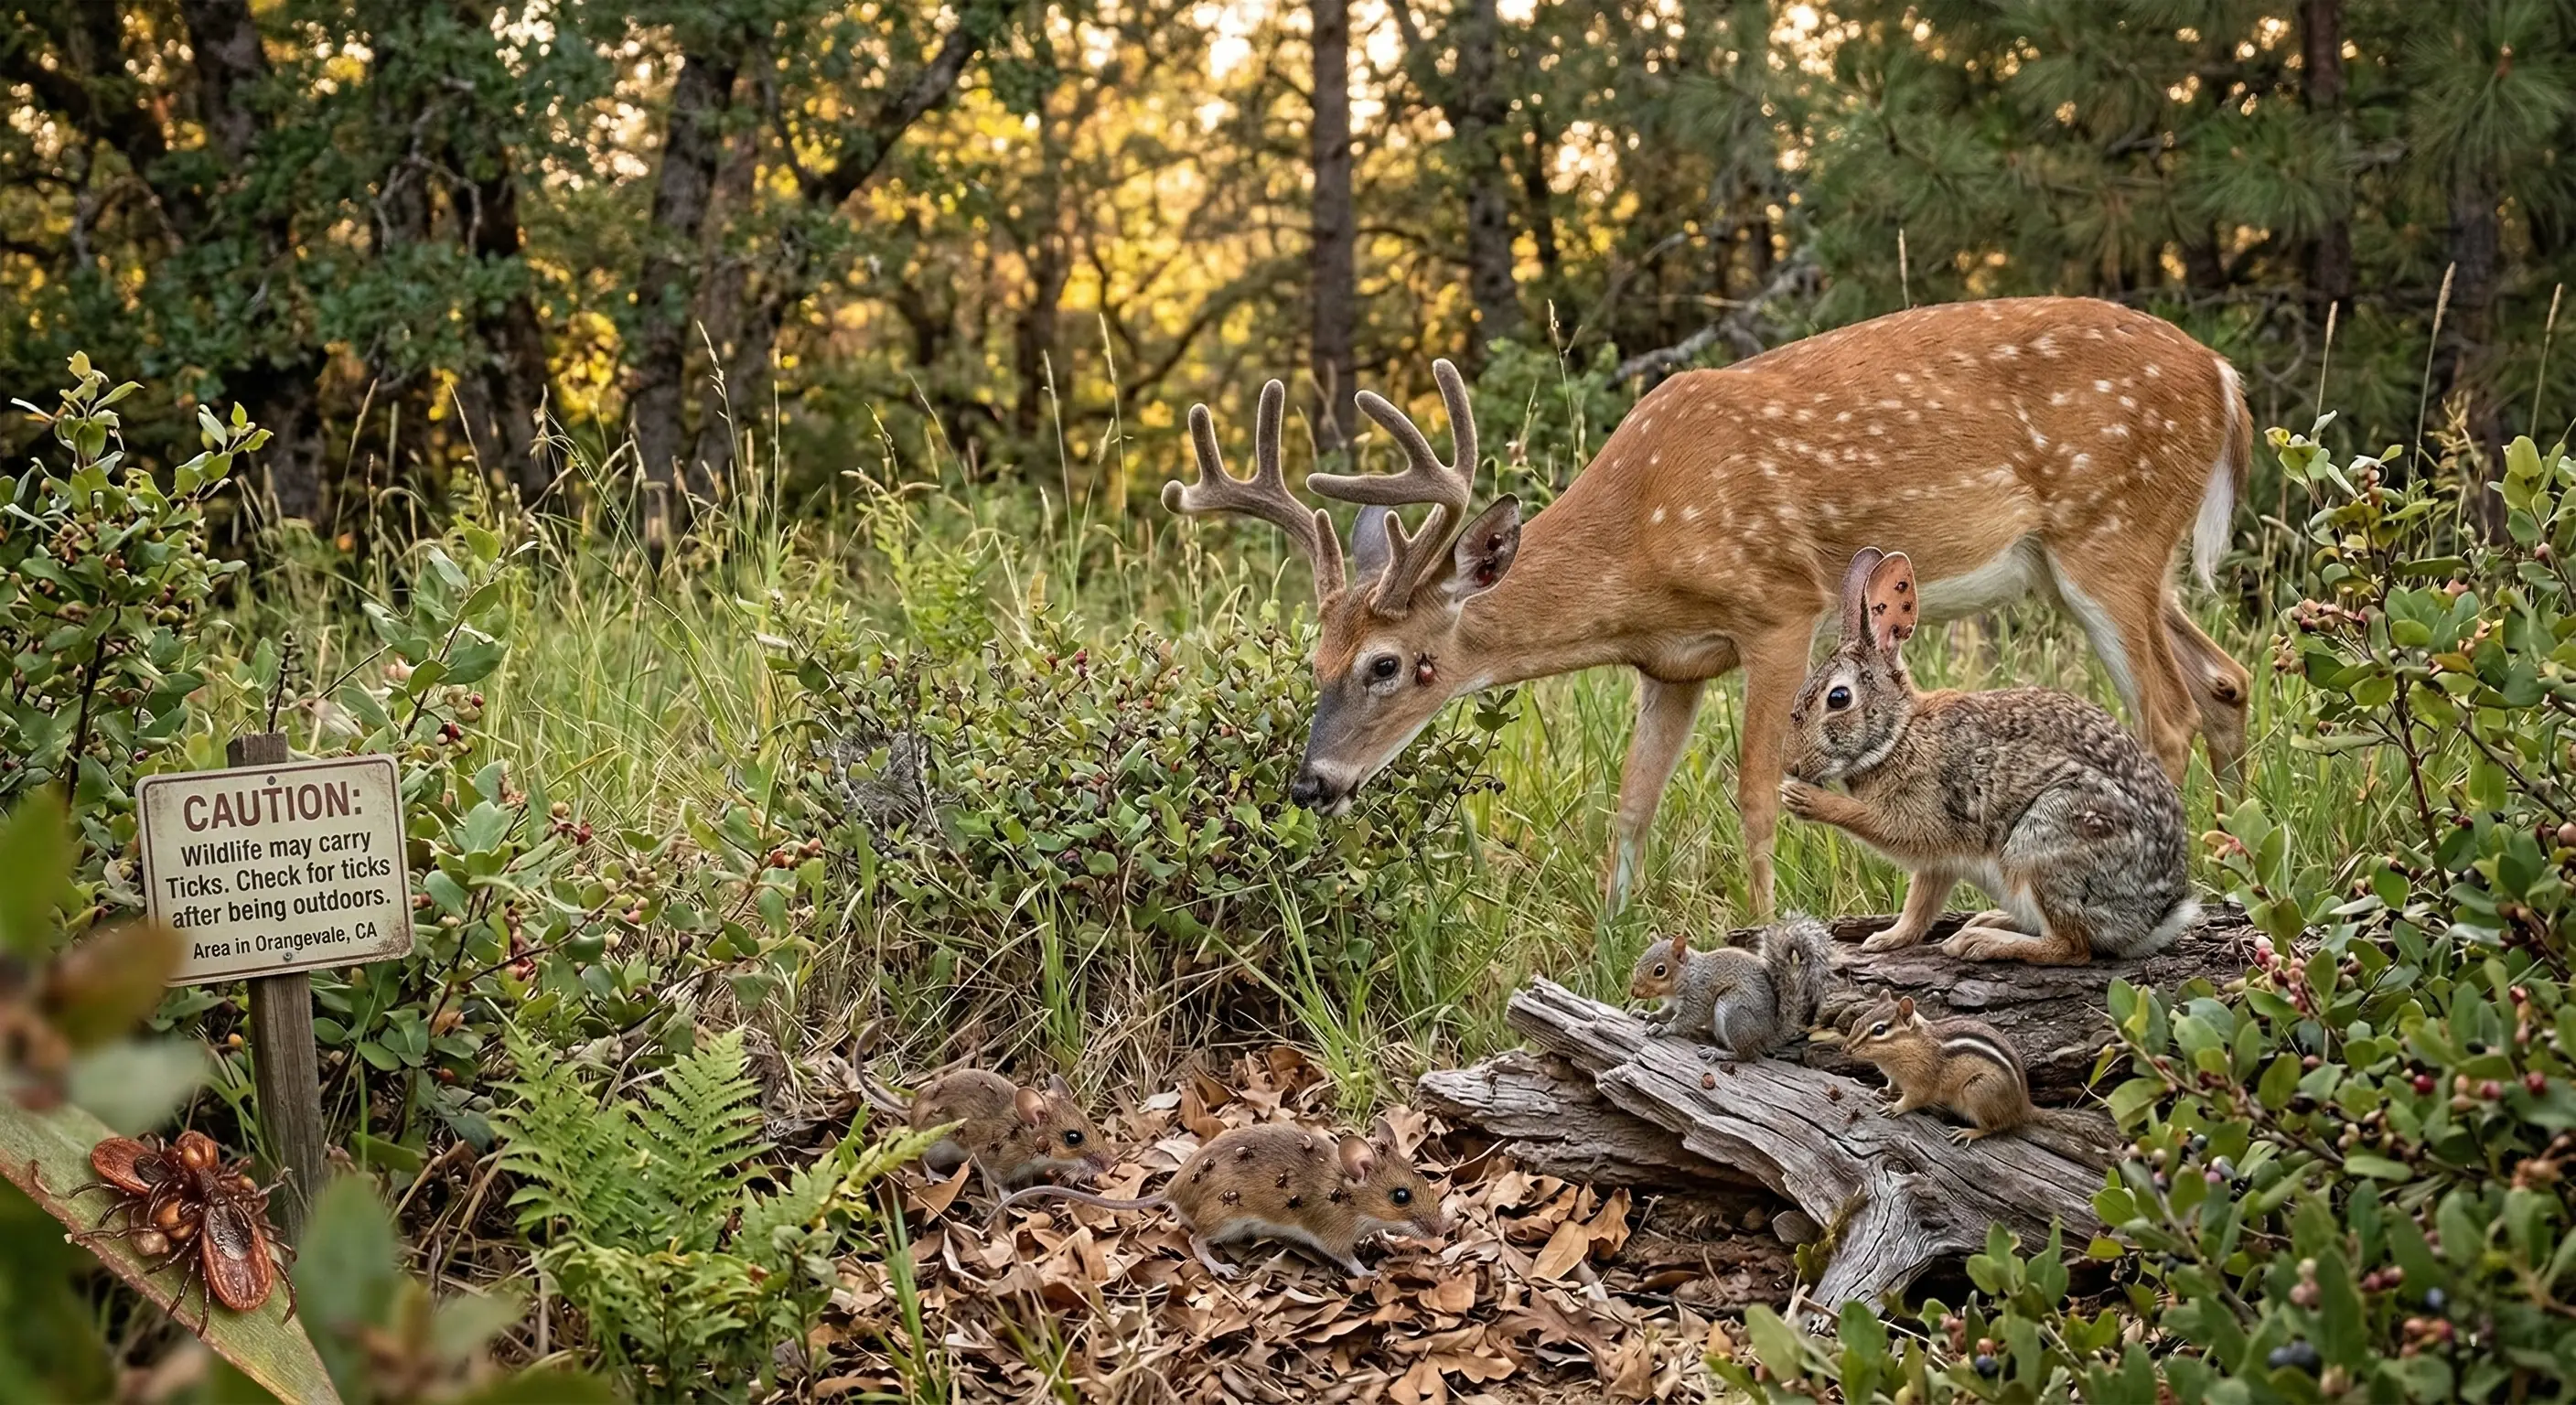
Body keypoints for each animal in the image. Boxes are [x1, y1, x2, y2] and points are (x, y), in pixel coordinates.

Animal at [1164, 296, 2254, 920]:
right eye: (1314, 663)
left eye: (1386, 664)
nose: (1311, 784)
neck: (1642, 541)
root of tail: (2224, 377)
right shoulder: (1669, 663)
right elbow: (1632, 800)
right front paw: (1613, 936)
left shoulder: (1779, 607)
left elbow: (1754, 788)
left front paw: (1762, 929)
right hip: (2097, 561)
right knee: (2226, 679)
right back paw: (2235, 854)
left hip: (2107, 531)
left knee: (2167, 706)